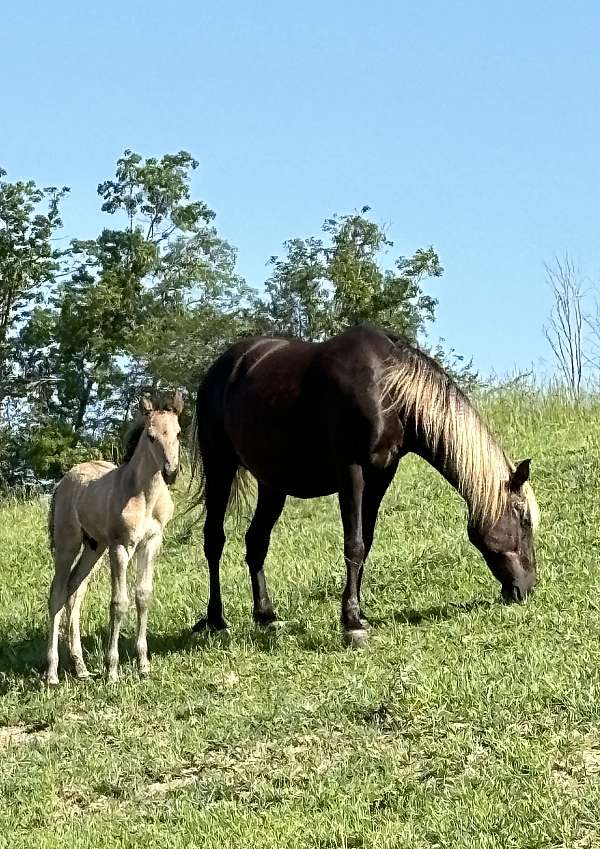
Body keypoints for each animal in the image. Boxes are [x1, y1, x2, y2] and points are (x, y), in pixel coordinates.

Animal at [46, 392, 183, 684]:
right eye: (151, 436)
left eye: (178, 433)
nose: (170, 472)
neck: (144, 496)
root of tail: (63, 481)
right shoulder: (121, 546)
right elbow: (119, 603)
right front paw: (112, 670)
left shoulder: (150, 543)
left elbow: (143, 596)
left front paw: (143, 664)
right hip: (69, 543)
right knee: (58, 593)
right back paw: (52, 673)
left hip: (94, 547)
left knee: (75, 590)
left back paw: (81, 668)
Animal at [191, 324, 540, 644]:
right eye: (524, 520)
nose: (526, 588)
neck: (389, 389)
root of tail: (223, 367)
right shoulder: (352, 472)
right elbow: (354, 543)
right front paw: (352, 623)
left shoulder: (381, 476)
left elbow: (366, 542)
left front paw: (360, 613)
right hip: (219, 465)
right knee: (214, 540)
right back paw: (216, 619)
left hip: (273, 483)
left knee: (256, 541)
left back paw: (266, 615)